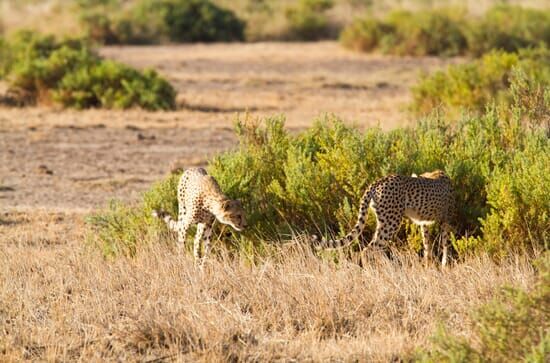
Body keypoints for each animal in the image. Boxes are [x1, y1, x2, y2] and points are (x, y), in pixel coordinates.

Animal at [316, 171, 460, 268]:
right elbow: (445, 244)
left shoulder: (424, 224)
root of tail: (377, 182)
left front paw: (428, 265)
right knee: (369, 250)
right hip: (391, 222)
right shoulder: (446, 220)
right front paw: (444, 266)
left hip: (384, 221)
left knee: (375, 249)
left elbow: (427, 245)